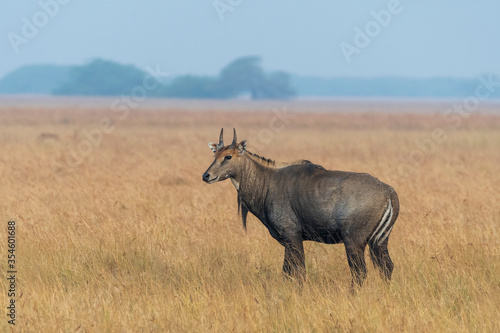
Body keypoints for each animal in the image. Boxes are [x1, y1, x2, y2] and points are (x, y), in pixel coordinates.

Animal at [201, 127, 400, 288]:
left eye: (228, 156)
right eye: (214, 156)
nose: (206, 175)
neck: (267, 181)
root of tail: (389, 192)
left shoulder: (292, 236)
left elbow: (296, 272)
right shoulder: (290, 241)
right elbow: (291, 272)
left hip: (354, 241)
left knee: (360, 272)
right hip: (380, 241)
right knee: (387, 267)